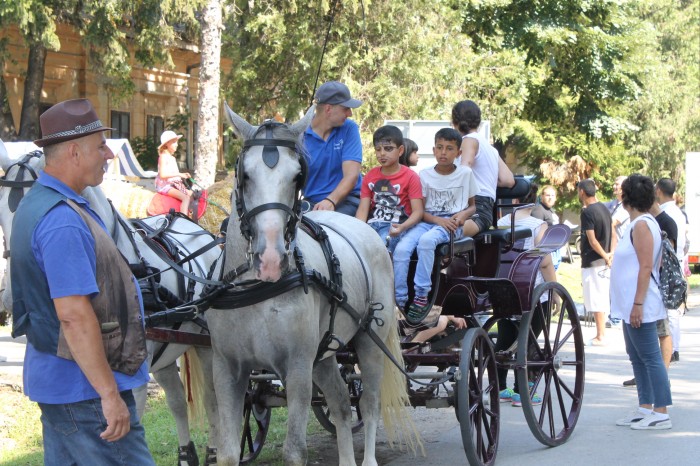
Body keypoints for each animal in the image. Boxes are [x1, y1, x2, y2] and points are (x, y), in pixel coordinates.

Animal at [0, 142, 221, 466]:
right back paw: (186, 454)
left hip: (206, 345)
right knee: (177, 401)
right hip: (166, 351)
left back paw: (216, 452)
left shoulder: (135, 379)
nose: (10, 298)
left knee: (214, 401)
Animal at [208, 106, 416, 466]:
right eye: (245, 175)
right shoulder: (227, 369)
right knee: (342, 406)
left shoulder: (298, 367)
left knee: (370, 406)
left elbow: (295, 450)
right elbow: (229, 453)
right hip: (323, 355)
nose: (270, 258)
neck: (256, 291)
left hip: (369, 341)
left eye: (296, 177)